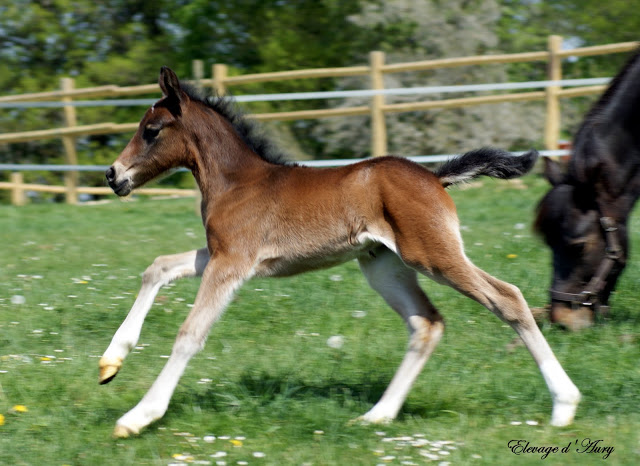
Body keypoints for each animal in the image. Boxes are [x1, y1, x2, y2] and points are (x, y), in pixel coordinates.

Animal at [99, 66, 580, 436]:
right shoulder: (222, 255)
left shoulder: (231, 263)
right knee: (427, 323)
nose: (112, 175)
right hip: (383, 266)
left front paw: (138, 416)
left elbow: (189, 333)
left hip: (434, 255)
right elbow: (158, 267)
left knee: (507, 297)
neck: (237, 182)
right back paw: (377, 416)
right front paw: (111, 362)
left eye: (151, 130)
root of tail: (432, 176)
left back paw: (564, 404)